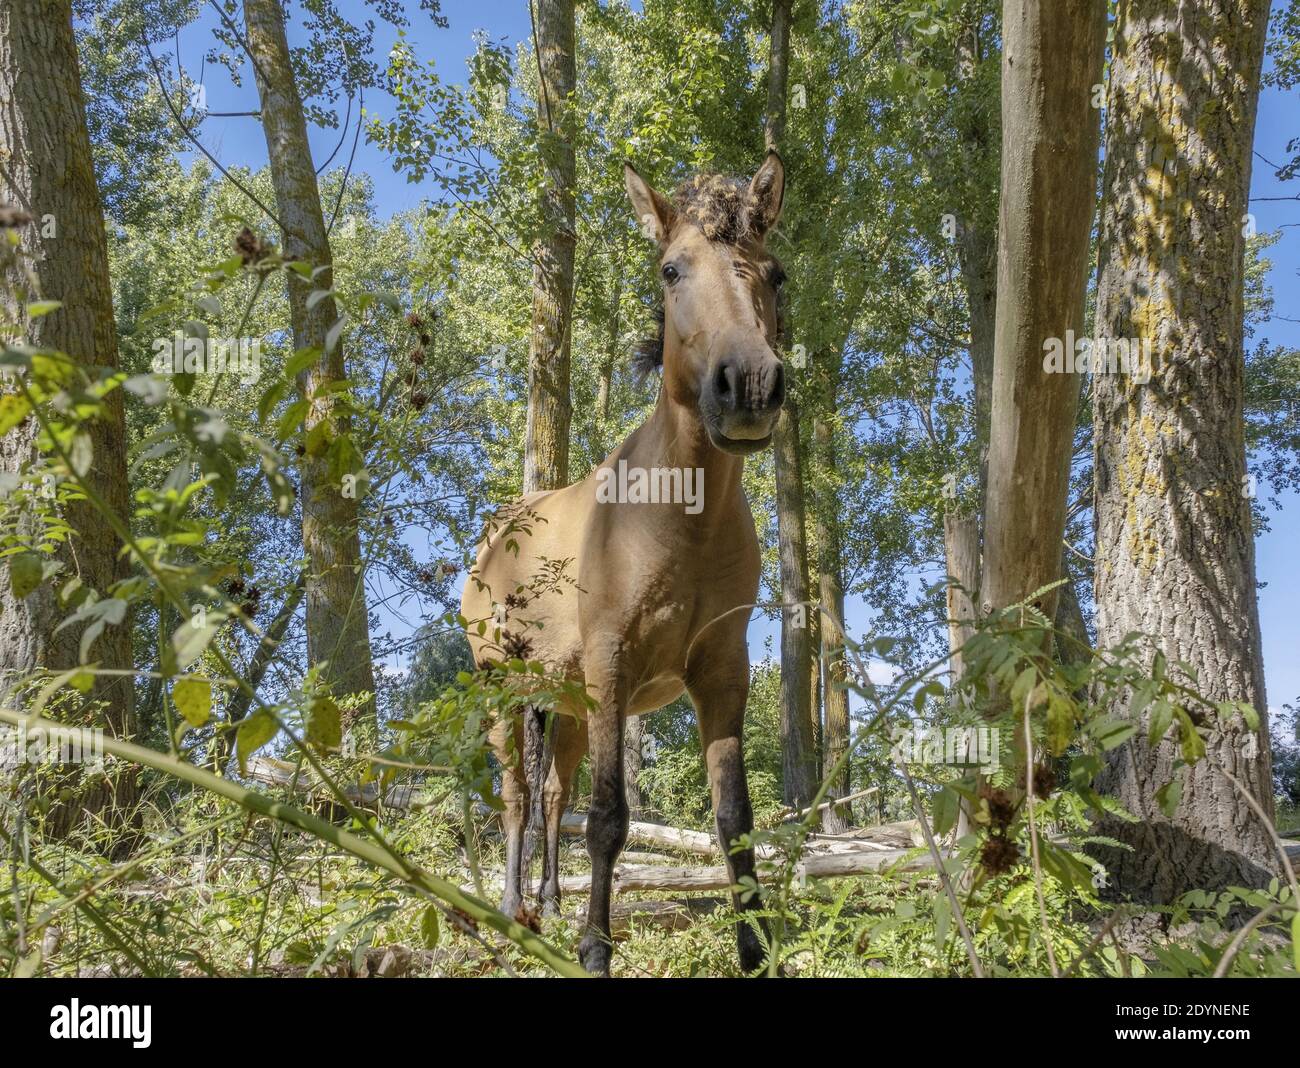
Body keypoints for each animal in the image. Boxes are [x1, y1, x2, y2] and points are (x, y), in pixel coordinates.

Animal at [462, 150, 785, 977]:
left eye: (775, 273)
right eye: (672, 269)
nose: (750, 384)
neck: (677, 518)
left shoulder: (721, 674)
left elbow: (733, 814)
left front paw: (754, 949)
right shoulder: (613, 663)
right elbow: (610, 817)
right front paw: (595, 950)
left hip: (567, 709)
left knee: (551, 797)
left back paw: (547, 900)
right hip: (503, 695)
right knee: (517, 796)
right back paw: (513, 910)